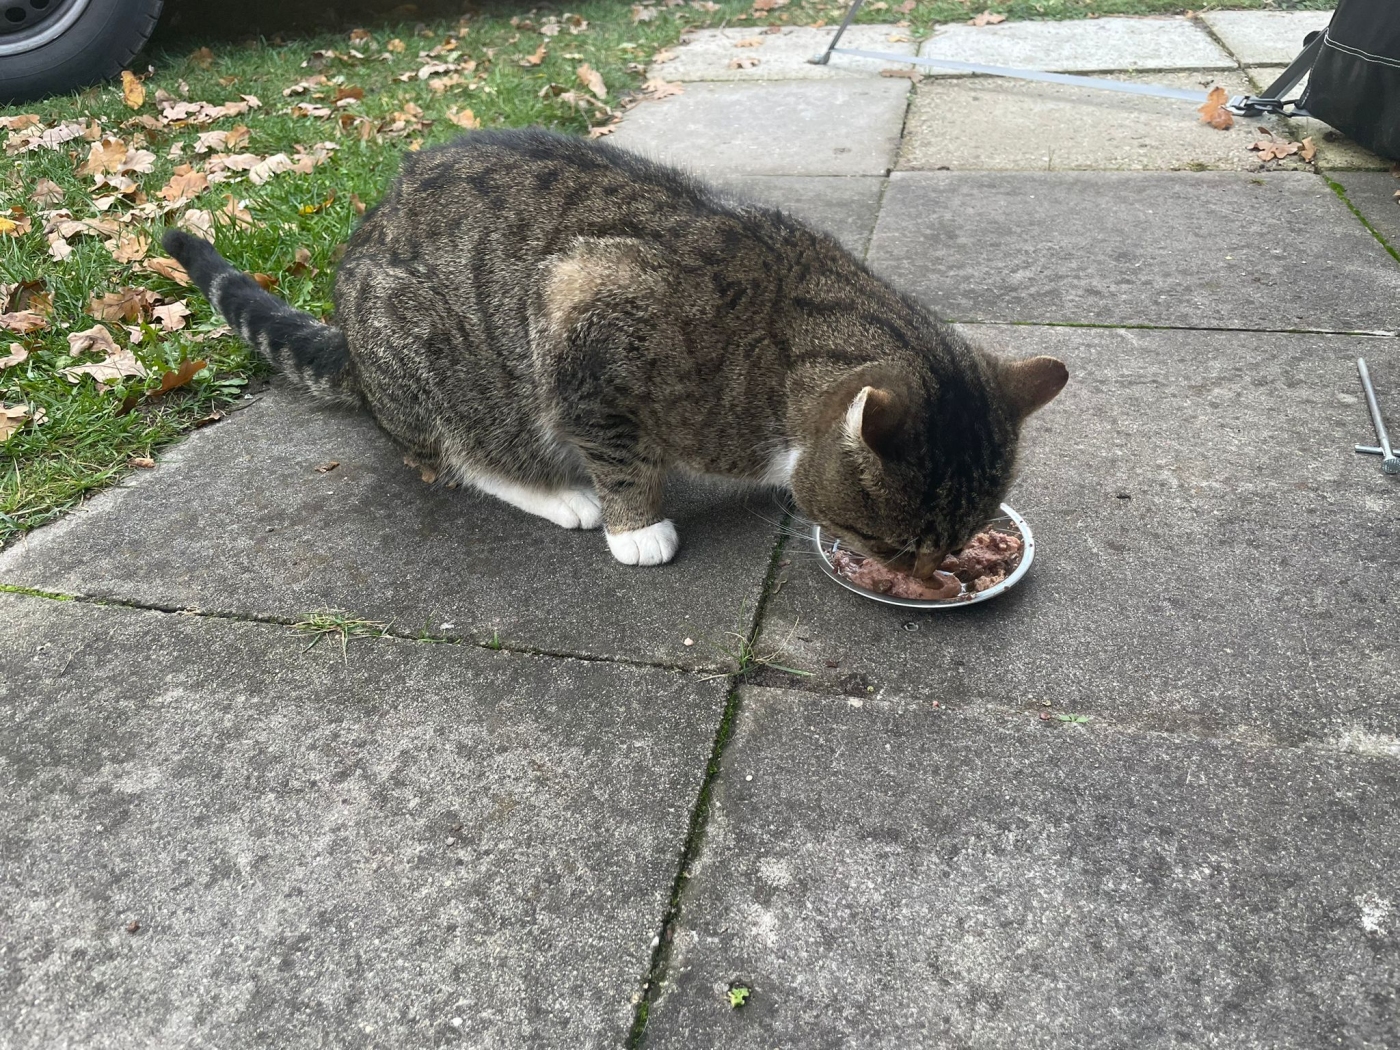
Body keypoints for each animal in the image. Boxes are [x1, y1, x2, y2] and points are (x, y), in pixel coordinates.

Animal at [163, 128, 1066, 572]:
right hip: (430, 353)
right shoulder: (584, 306)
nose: (923, 576)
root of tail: (350, 333)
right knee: (448, 456)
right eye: (896, 546)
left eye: (956, 542)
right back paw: (556, 491)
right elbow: (618, 450)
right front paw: (637, 524)